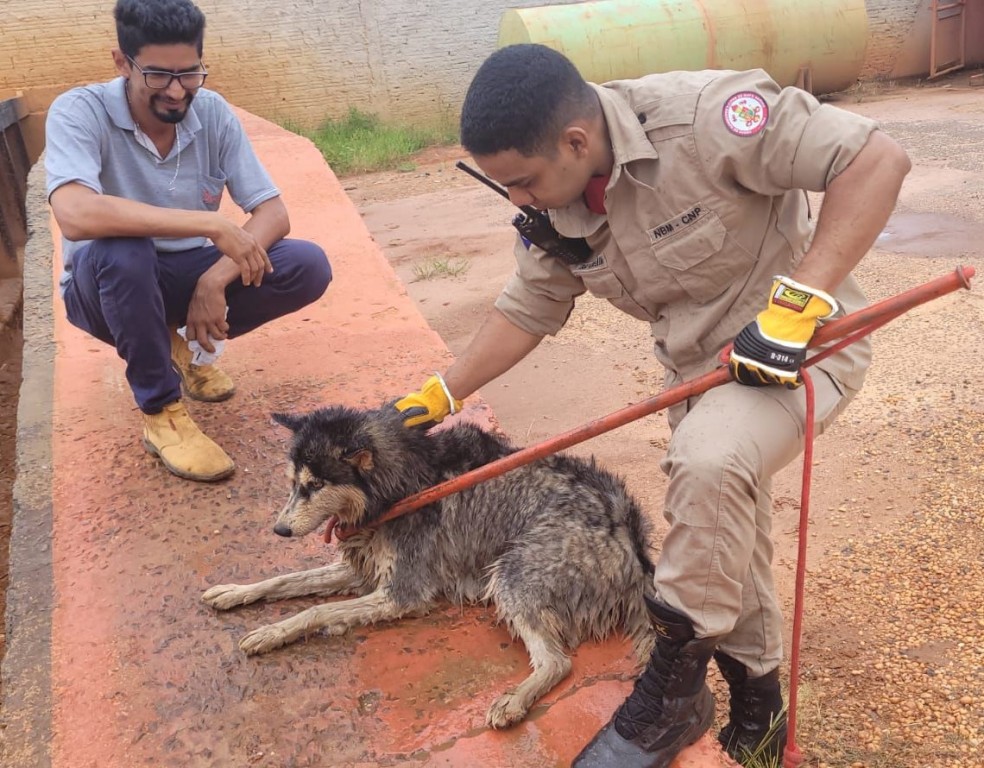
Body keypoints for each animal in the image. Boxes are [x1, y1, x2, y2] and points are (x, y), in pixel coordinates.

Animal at [203, 404, 656, 728]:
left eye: (315, 485)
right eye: (292, 483)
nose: (279, 530)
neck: (400, 487)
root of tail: (632, 537)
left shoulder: (401, 594)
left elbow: (315, 610)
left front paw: (270, 631)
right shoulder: (362, 571)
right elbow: (285, 581)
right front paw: (243, 600)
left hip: (511, 576)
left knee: (557, 662)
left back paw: (514, 701)